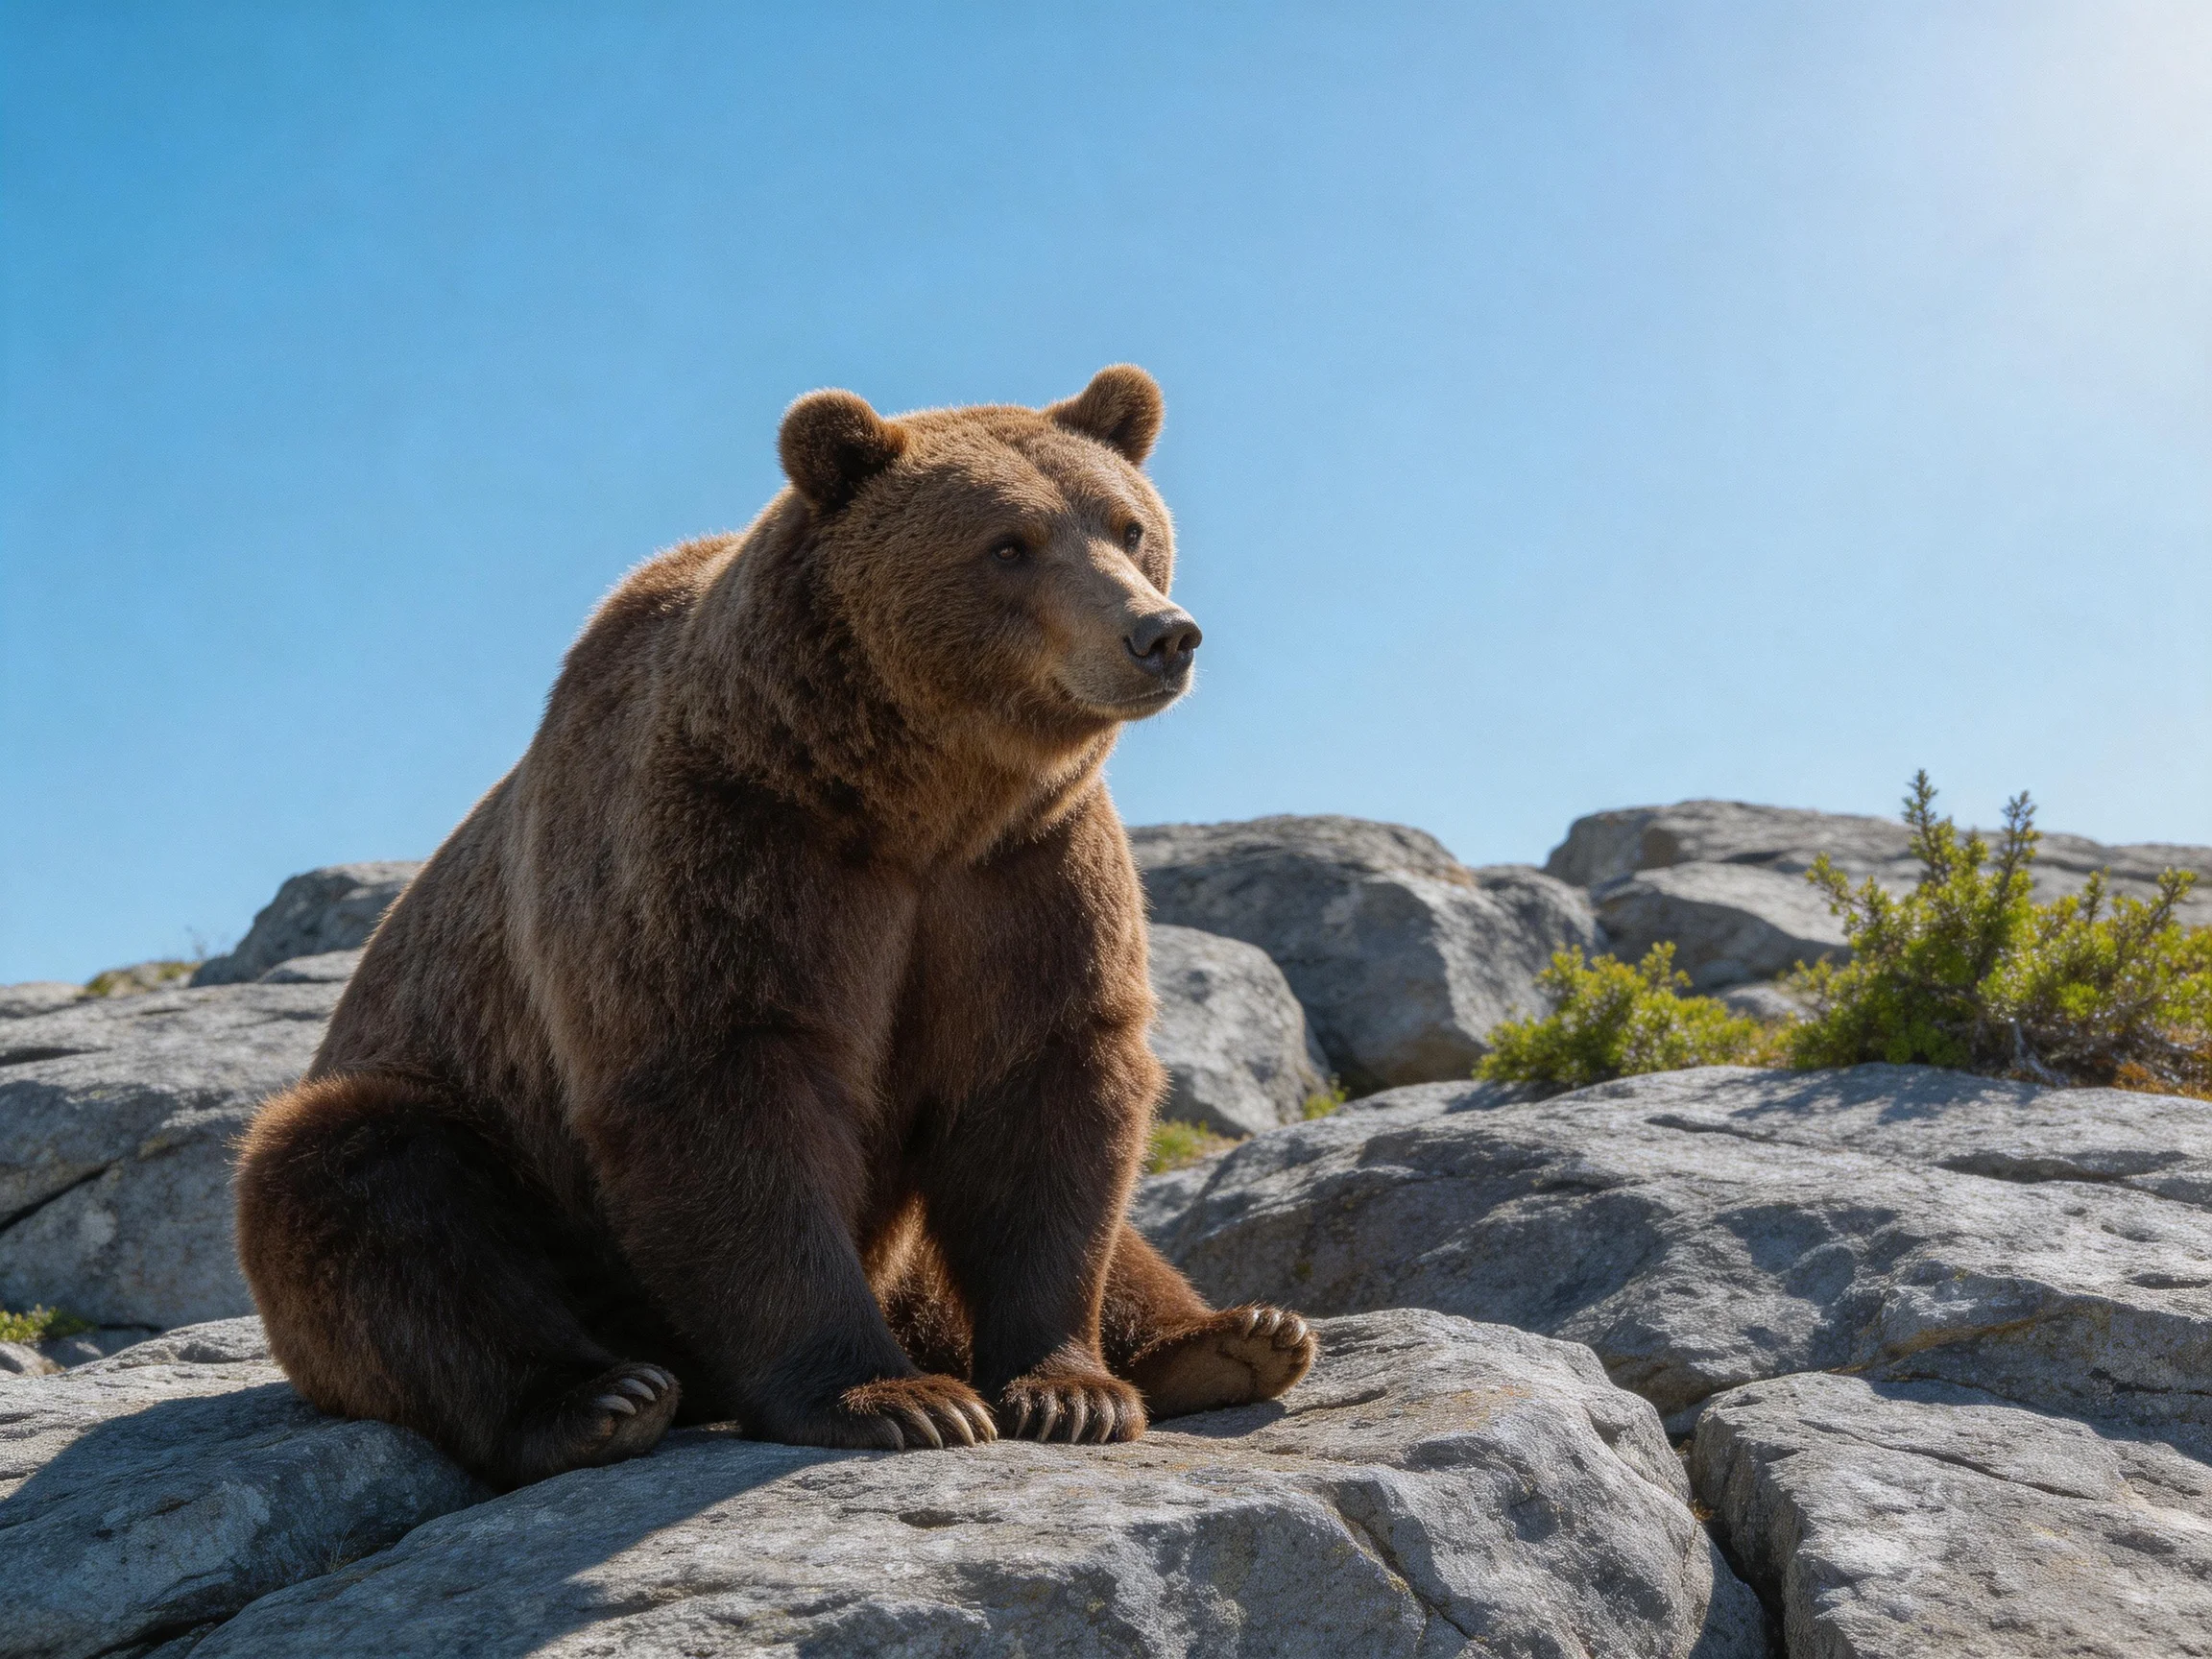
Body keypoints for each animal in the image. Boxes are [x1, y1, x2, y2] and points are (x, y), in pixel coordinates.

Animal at [235, 365, 1317, 1488]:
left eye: (1129, 526)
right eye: (1009, 543)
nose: (1161, 634)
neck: (914, 802)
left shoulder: (1024, 870)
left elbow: (1045, 1087)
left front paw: (1071, 1390)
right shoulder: (729, 851)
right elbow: (730, 1097)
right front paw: (896, 1400)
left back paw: (1235, 1338)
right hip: (472, 1138)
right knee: (370, 1186)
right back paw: (599, 1400)